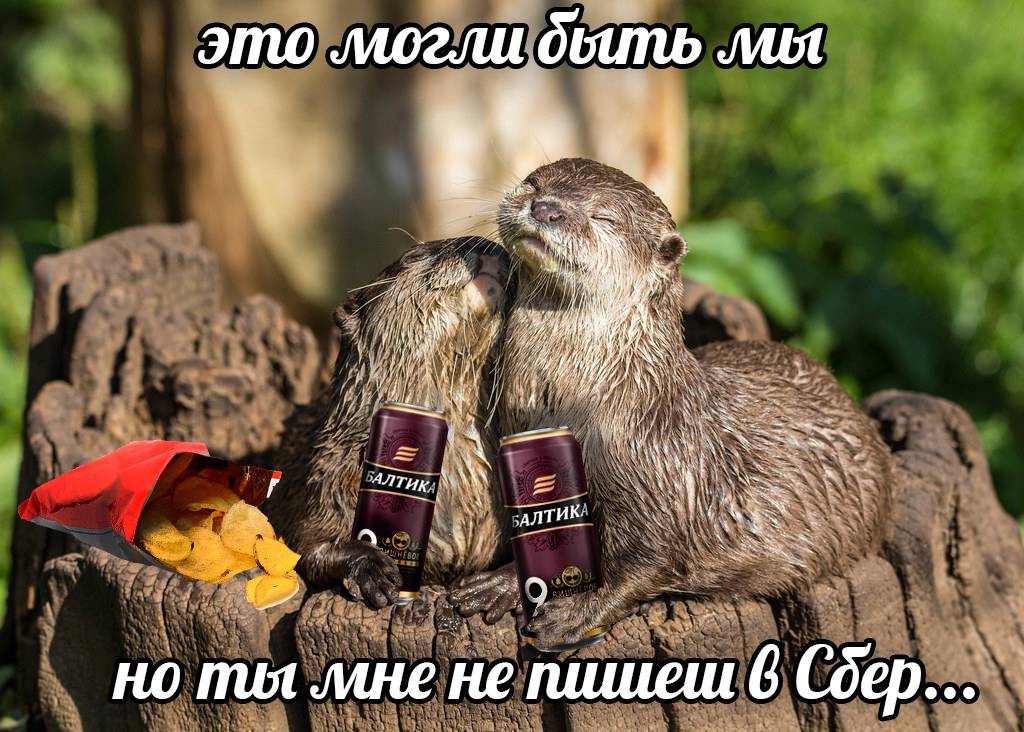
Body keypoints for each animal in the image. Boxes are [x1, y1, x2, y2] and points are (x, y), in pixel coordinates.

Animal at [265, 237, 510, 608]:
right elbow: (304, 550)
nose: (484, 242)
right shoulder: (325, 481)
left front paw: (498, 585)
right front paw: (373, 569)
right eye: (415, 255)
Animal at [451, 159, 891, 646]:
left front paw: (575, 614)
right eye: (534, 183)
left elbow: (645, 566)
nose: (545, 207)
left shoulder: (665, 482)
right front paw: (502, 581)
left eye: (603, 218)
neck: (580, 405)